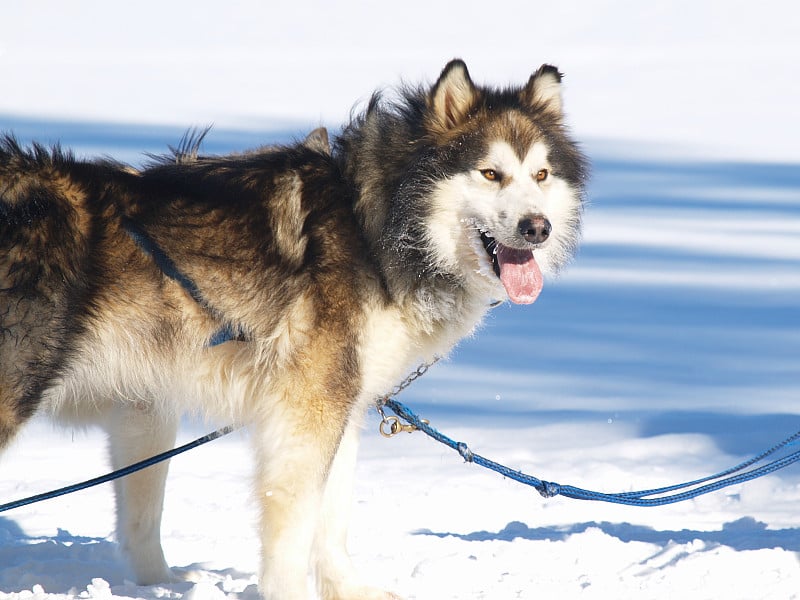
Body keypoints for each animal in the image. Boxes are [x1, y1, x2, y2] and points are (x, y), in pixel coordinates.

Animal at [0, 62, 588, 600]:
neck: (376, 228)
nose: (538, 228)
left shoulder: (169, 409)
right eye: (490, 174)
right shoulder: (306, 413)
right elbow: (296, 525)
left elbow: (326, 521)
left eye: (540, 176)